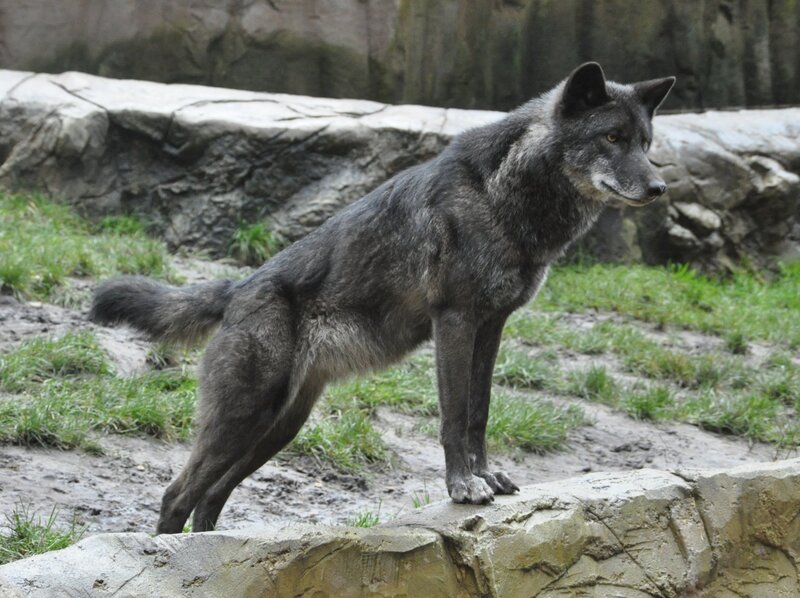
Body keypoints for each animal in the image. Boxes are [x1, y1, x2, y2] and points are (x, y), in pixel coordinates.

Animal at [90, 63, 675, 533]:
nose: (659, 190)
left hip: (278, 426)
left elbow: (479, 412)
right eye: (613, 137)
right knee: (177, 496)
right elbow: (454, 416)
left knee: (209, 499)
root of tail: (239, 287)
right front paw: (464, 487)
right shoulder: (455, 320)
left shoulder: (492, 326)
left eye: (646, 144)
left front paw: (486, 476)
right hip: (246, 415)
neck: (503, 197)